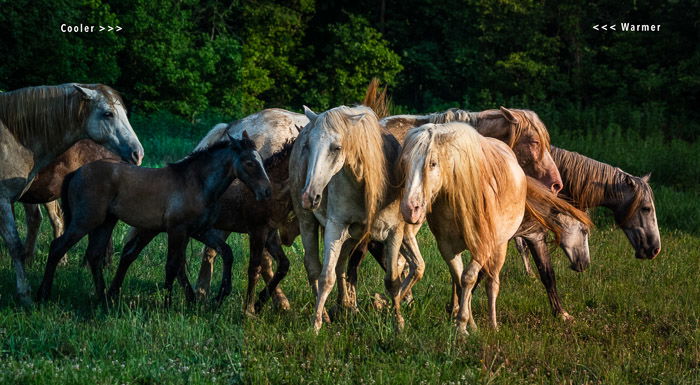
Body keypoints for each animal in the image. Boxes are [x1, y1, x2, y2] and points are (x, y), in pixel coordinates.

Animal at [288, 104, 422, 330]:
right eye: (308, 146)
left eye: (336, 147)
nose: (309, 196)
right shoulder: (335, 227)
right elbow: (326, 277)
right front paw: (316, 325)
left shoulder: (393, 232)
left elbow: (392, 279)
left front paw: (398, 321)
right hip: (307, 221)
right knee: (314, 266)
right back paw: (328, 313)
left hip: (353, 235)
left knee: (342, 265)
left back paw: (345, 306)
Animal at [400, 121, 584, 332]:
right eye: (404, 162)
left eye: (433, 163)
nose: (410, 209)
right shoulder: (447, 248)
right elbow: (460, 280)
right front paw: (467, 322)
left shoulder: (483, 248)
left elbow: (469, 278)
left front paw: (462, 325)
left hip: (499, 248)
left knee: (492, 283)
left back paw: (493, 324)